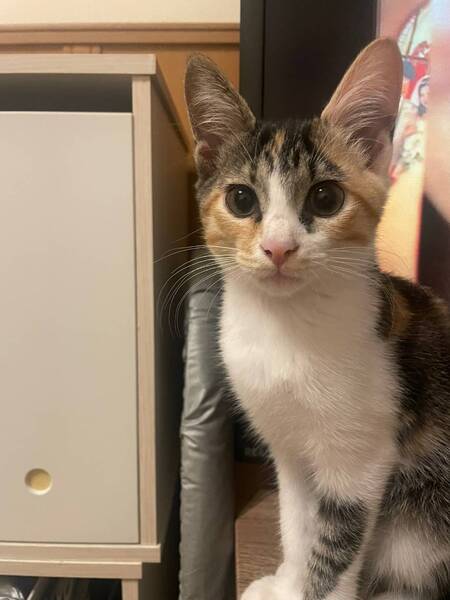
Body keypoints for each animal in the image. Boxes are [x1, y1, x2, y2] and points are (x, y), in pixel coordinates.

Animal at [184, 38, 450, 600]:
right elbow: (296, 521)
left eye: (326, 197)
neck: (285, 328)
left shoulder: (359, 459)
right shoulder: (289, 450)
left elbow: (335, 546)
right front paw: (288, 580)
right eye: (241, 198)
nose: (278, 247)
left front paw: (312, 586)